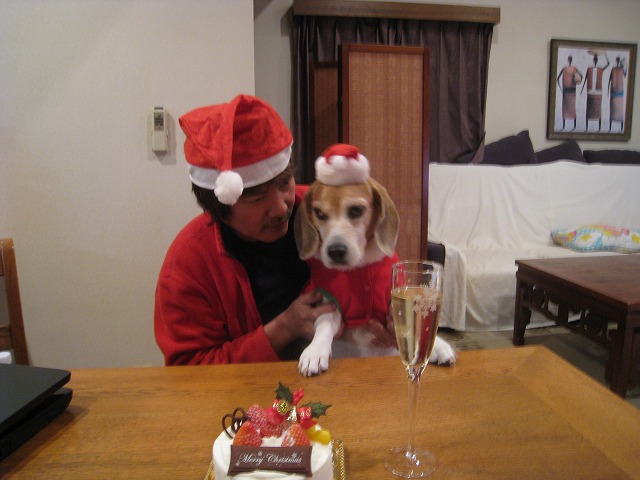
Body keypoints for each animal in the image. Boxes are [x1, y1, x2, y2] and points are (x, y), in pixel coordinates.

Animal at [294, 144, 457, 376]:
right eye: (319, 213)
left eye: (356, 210)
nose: (335, 251)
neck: (360, 267)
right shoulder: (330, 303)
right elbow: (324, 324)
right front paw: (315, 352)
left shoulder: (393, 300)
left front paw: (439, 346)